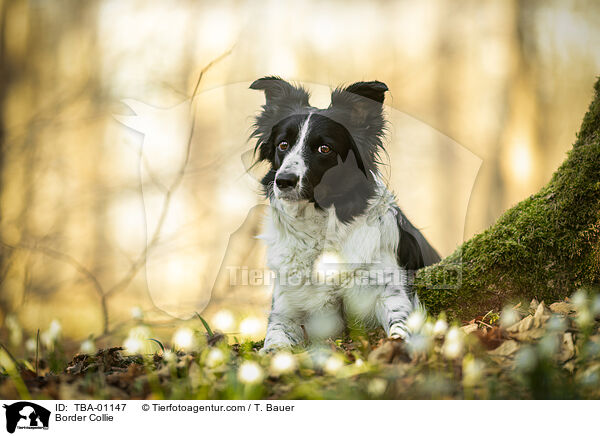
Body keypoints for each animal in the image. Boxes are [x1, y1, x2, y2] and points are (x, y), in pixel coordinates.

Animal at [248, 77, 440, 350]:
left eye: (324, 148)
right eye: (283, 145)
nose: (283, 181)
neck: (320, 226)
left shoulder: (387, 289)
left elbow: (400, 320)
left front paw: (398, 343)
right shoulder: (287, 306)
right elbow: (275, 335)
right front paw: (273, 351)